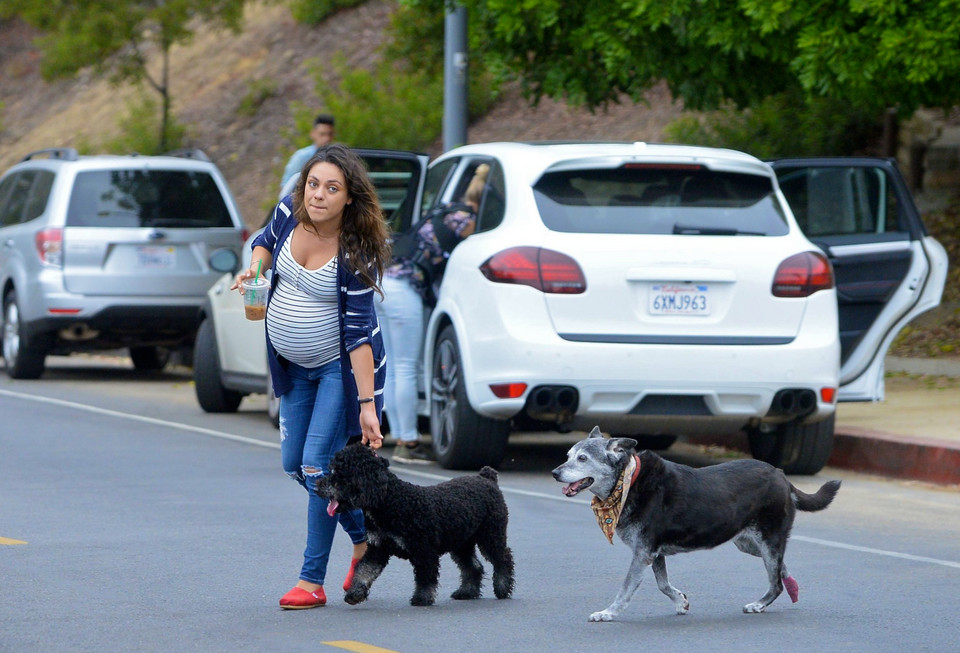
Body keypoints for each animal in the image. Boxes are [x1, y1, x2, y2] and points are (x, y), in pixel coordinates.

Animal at [316, 444, 512, 608]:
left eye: (341, 474)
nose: (318, 485)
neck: (392, 502)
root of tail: (486, 477)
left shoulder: (424, 551)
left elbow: (425, 577)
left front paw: (422, 598)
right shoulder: (377, 549)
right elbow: (364, 570)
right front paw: (354, 593)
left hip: (491, 535)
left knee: (503, 558)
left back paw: (503, 587)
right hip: (461, 543)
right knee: (473, 566)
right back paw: (467, 592)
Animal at [556, 428, 840, 620]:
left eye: (582, 459)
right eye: (568, 456)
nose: (555, 473)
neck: (628, 481)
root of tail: (781, 475)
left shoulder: (643, 553)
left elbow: (626, 588)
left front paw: (608, 612)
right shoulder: (654, 553)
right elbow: (662, 584)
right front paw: (680, 602)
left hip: (767, 541)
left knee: (775, 581)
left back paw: (760, 604)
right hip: (750, 543)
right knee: (781, 568)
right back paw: (788, 587)